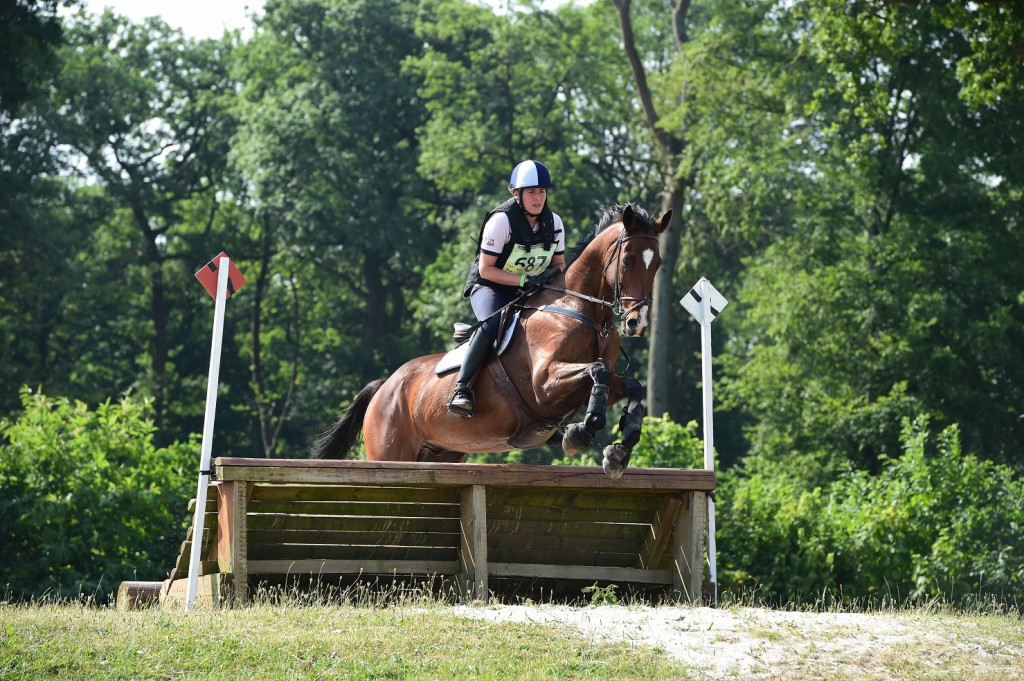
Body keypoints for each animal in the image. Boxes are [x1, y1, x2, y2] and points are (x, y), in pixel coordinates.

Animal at [311, 202, 671, 477]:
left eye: (658, 263)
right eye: (628, 261)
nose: (637, 322)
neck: (581, 310)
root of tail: (384, 386)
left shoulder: (587, 385)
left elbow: (628, 383)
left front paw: (620, 448)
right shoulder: (544, 384)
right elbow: (597, 371)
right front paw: (579, 433)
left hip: (442, 452)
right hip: (390, 452)